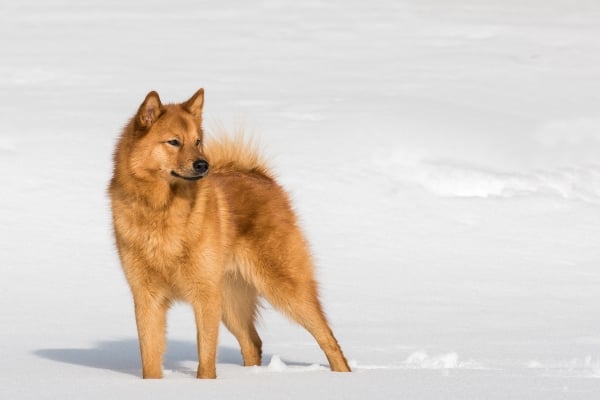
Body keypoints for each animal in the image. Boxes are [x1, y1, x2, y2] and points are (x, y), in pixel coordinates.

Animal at [109, 87, 352, 378]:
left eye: (198, 141)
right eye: (174, 142)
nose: (203, 165)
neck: (162, 210)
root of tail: (261, 176)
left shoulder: (205, 297)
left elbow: (206, 360)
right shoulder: (148, 299)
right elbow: (150, 361)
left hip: (284, 289)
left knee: (328, 338)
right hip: (230, 301)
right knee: (252, 342)